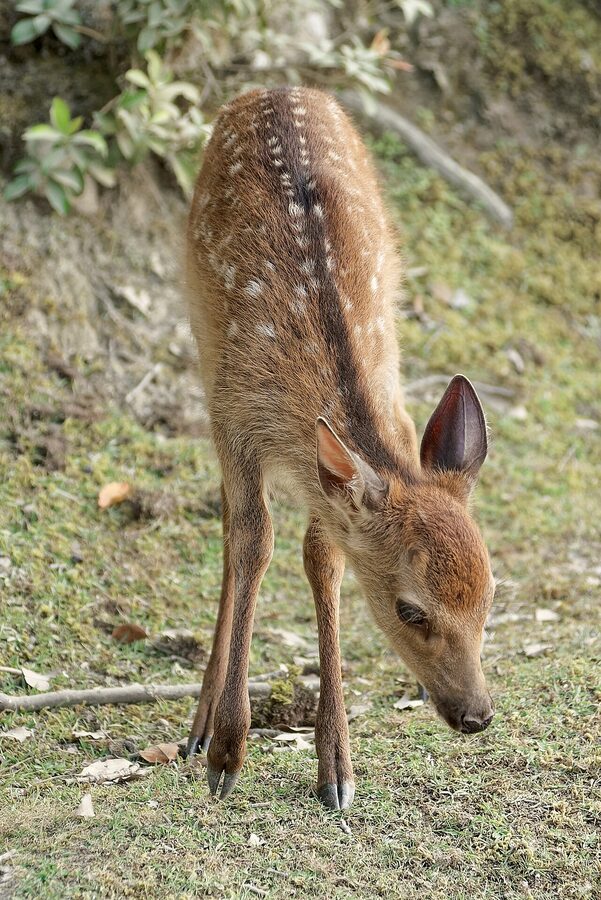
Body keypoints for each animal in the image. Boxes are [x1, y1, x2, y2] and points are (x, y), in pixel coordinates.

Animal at [184, 86, 495, 811]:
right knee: (230, 530)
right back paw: (199, 726)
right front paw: (228, 752)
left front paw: (335, 765)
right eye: (410, 609)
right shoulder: (234, 419)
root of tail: (270, 88)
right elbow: (253, 542)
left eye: (490, 596)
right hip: (199, 334)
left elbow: (321, 559)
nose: (477, 715)